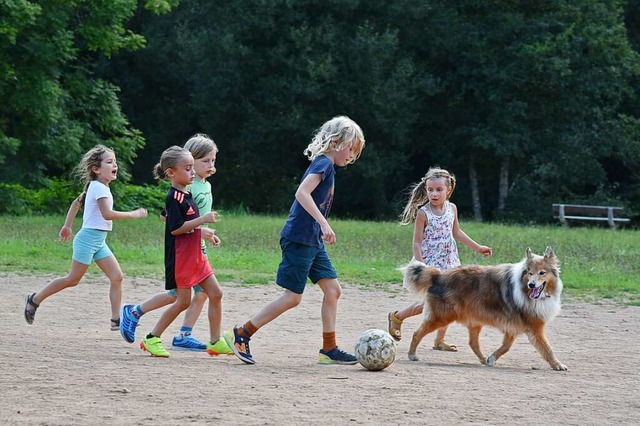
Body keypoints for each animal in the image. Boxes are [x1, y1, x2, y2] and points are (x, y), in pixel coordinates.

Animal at [402, 246, 568, 370]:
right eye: (529, 273)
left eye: (542, 273)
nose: (532, 284)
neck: (524, 290)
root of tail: (438, 275)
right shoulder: (535, 328)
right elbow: (547, 348)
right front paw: (558, 365)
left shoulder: (512, 327)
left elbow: (506, 346)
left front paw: (491, 358)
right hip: (441, 317)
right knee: (417, 333)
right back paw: (412, 354)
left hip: (474, 321)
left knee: (473, 343)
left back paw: (482, 359)